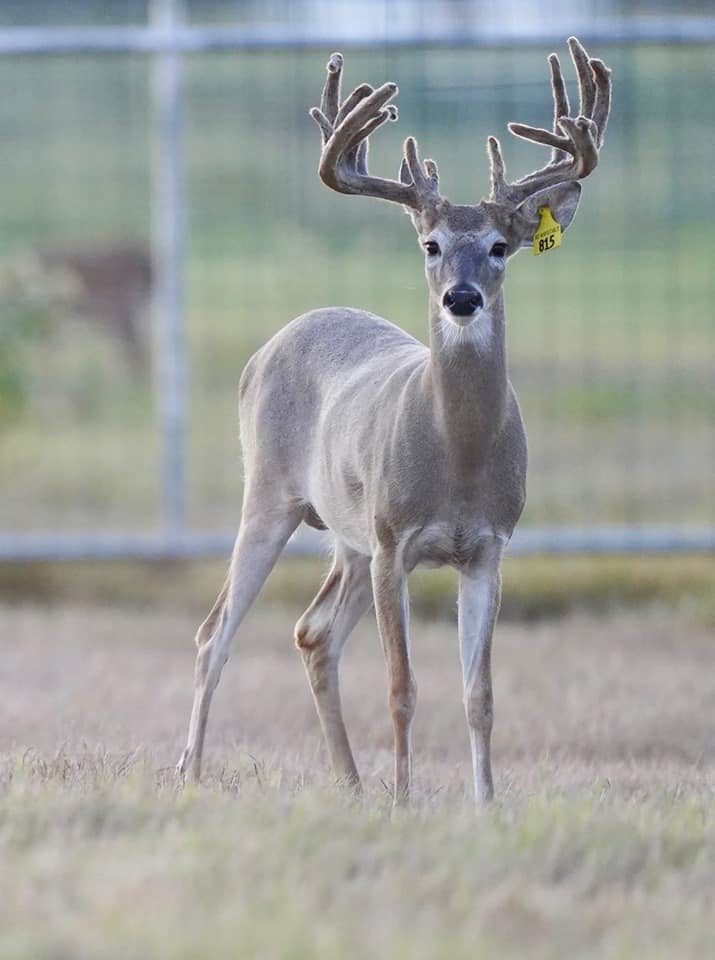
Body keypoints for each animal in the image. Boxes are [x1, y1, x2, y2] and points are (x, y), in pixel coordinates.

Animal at [177, 38, 612, 805]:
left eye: (500, 247)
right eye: (430, 244)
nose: (461, 298)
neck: (457, 458)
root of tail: (265, 348)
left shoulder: (490, 547)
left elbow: (480, 695)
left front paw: (485, 805)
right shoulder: (392, 540)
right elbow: (402, 687)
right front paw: (405, 801)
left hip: (345, 537)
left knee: (312, 632)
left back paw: (349, 784)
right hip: (271, 496)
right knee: (215, 630)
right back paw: (191, 772)